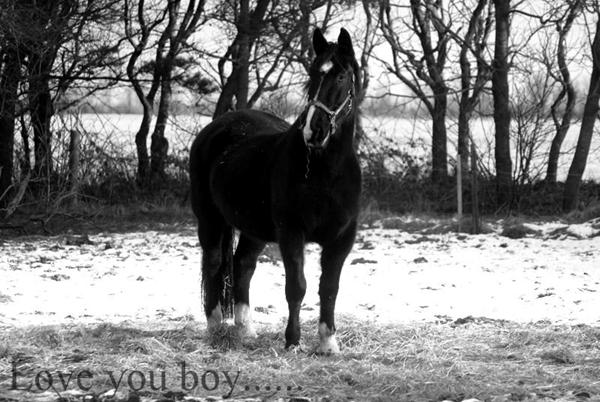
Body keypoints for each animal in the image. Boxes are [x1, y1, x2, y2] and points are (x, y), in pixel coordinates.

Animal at [190, 28, 360, 354]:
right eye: (312, 75)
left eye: (342, 77)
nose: (314, 131)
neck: (325, 172)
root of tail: (214, 128)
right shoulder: (291, 232)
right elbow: (297, 286)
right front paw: (292, 341)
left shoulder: (341, 238)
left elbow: (329, 288)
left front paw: (328, 343)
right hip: (209, 218)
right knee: (213, 263)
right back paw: (215, 327)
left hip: (253, 229)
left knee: (243, 265)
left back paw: (245, 329)